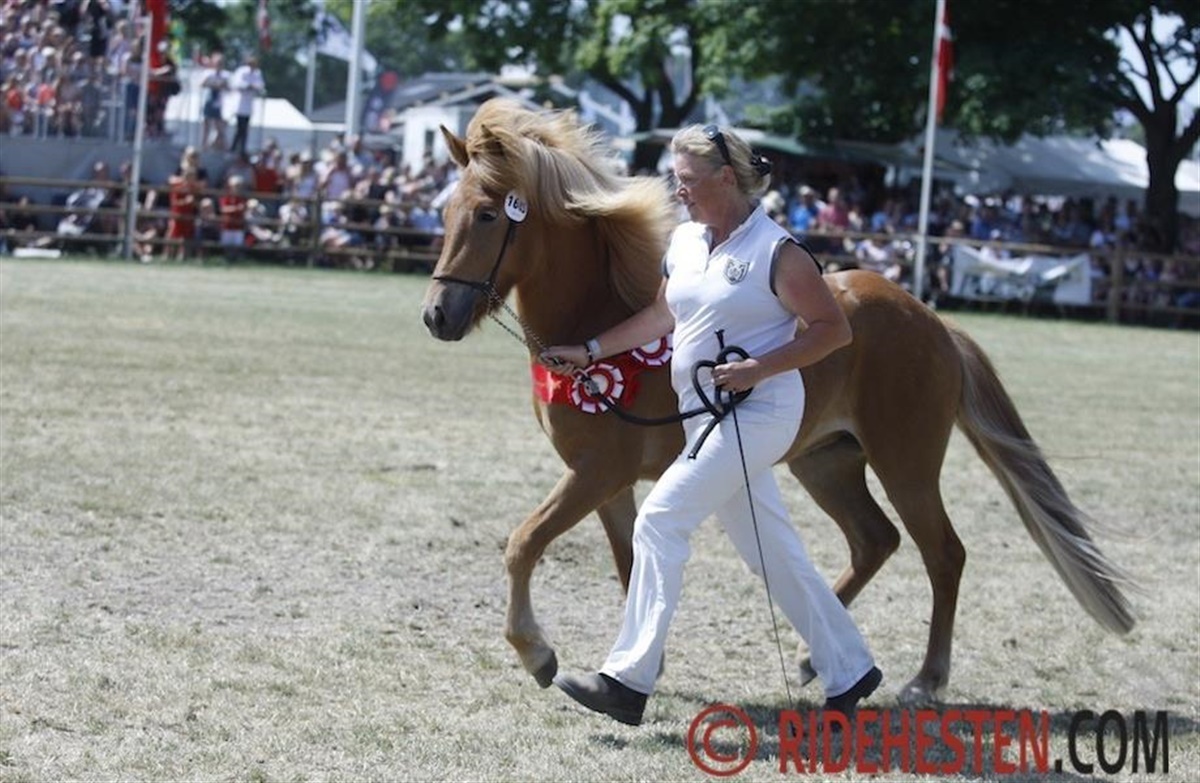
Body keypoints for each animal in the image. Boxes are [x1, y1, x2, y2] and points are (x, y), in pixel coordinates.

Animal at [420, 98, 1135, 706]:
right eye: (446, 211)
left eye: (488, 215)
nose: (437, 315)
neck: (602, 325)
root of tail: (932, 320)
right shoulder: (604, 480)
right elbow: (627, 565)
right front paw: (632, 667)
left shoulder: (599, 472)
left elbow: (523, 543)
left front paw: (538, 654)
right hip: (827, 461)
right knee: (874, 541)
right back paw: (819, 658)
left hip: (906, 463)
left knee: (944, 554)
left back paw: (923, 681)